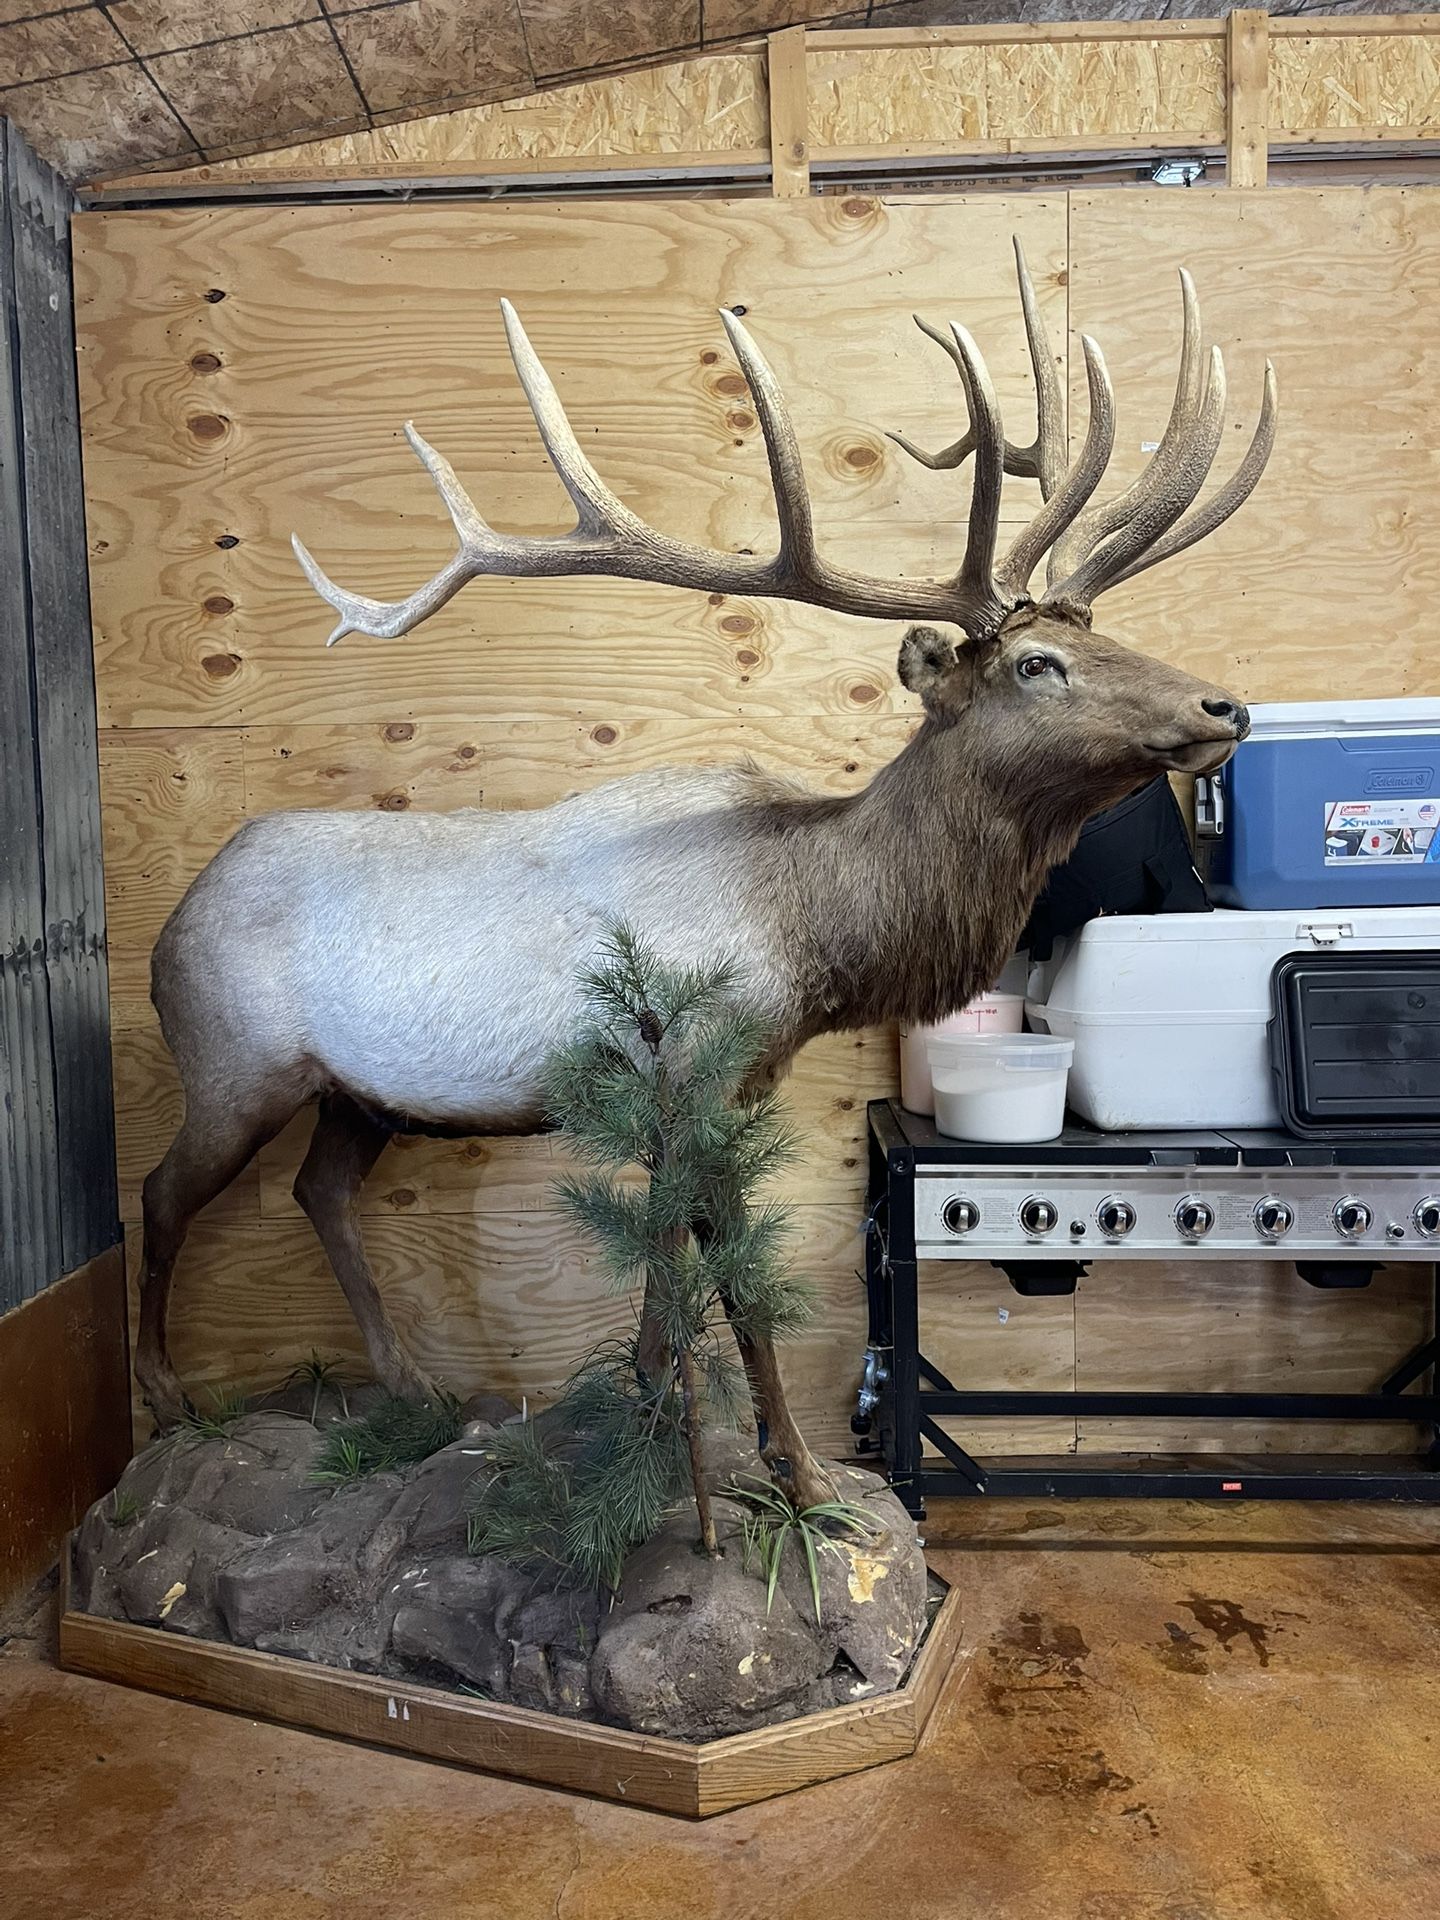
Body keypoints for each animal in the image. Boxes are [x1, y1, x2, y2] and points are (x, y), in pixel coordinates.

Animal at [138, 241, 1275, 1510]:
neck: (818, 926)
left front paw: (651, 1413)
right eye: (1037, 662)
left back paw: (412, 1389)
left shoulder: (705, 1092)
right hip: (234, 1063)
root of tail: (174, 919)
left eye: (1099, 632)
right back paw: (170, 1402)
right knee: (160, 1195)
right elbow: (730, 1275)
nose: (1223, 705)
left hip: (360, 1094)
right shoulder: (696, 1064)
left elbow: (667, 1263)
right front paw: (803, 1479)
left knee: (319, 1191)